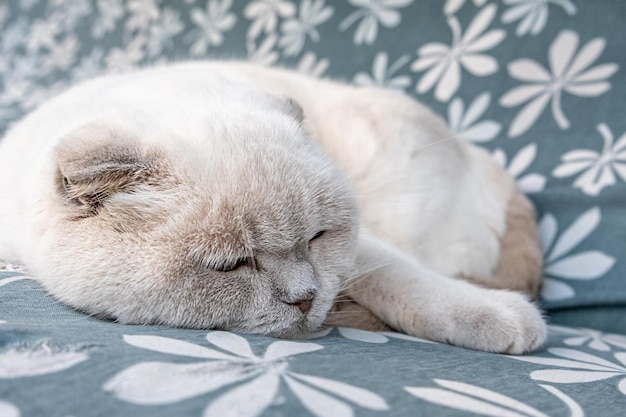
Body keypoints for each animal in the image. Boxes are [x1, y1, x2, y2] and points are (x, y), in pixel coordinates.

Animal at [0, 61, 544, 352]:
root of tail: (486, 160)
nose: (305, 298)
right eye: (231, 265)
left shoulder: (365, 254)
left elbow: (403, 279)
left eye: (317, 238)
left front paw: (508, 320)